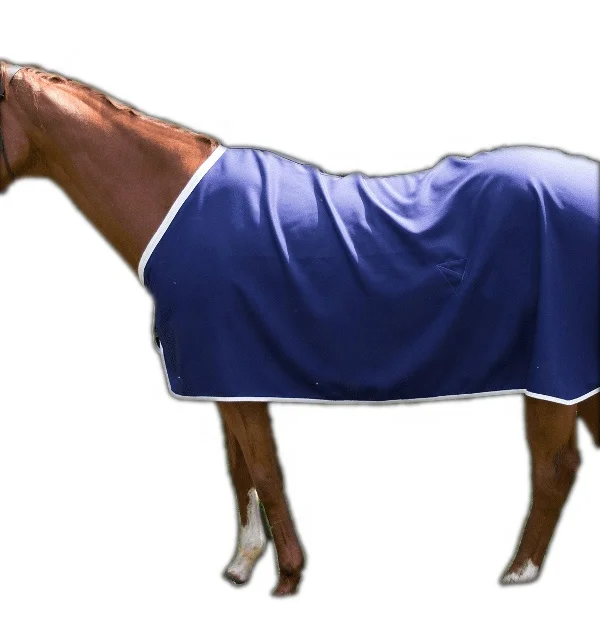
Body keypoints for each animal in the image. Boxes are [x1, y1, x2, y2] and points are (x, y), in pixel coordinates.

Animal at [0, 60, 598, 597]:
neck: (173, 208)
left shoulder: (234, 370)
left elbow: (264, 469)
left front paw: (287, 576)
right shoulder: (225, 379)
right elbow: (239, 468)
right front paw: (243, 564)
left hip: (553, 369)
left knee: (555, 466)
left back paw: (518, 571)